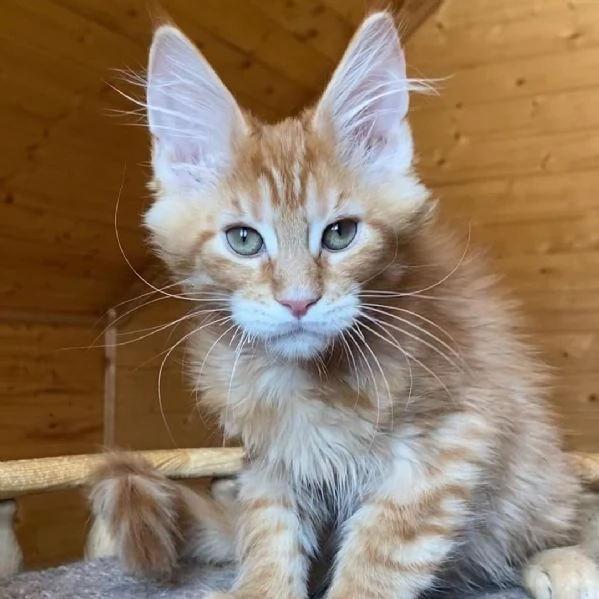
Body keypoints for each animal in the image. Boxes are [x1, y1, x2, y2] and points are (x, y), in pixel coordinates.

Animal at [89, 10, 599, 599]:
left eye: (340, 234)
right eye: (243, 240)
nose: (298, 300)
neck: (308, 381)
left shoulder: (444, 443)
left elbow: (378, 561)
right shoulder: (270, 461)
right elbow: (266, 534)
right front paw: (260, 586)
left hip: (535, 480)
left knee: (565, 518)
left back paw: (564, 561)